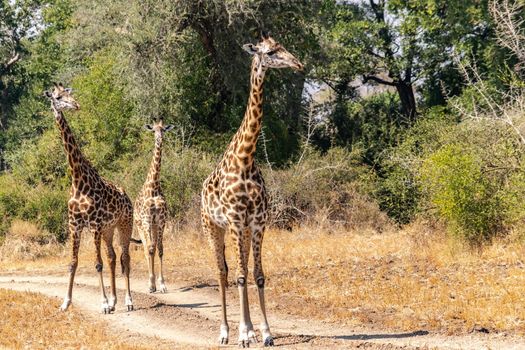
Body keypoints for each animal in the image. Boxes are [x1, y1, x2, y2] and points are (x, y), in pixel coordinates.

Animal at [44, 83, 135, 314]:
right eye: (58, 97)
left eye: (69, 94)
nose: (76, 105)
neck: (78, 180)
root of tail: (128, 197)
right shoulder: (74, 225)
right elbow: (73, 263)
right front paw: (65, 302)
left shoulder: (93, 224)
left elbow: (97, 263)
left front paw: (102, 303)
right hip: (108, 230)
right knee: (113, 257)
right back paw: (114, 301)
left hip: (124, 225)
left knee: (125, 257)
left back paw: (128, 302)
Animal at [201, 33, 302, 348]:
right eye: (269, 52)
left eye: (283, 47)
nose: (298, 63)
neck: (246, 157)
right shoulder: (234, 220)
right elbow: (240, 275)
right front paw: (243, 333)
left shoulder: (256, 222)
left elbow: (257, 274)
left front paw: (265, 332)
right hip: (212, 227)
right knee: (222, 272)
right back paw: (225, 332)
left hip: (242, 231)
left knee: (239, 268)